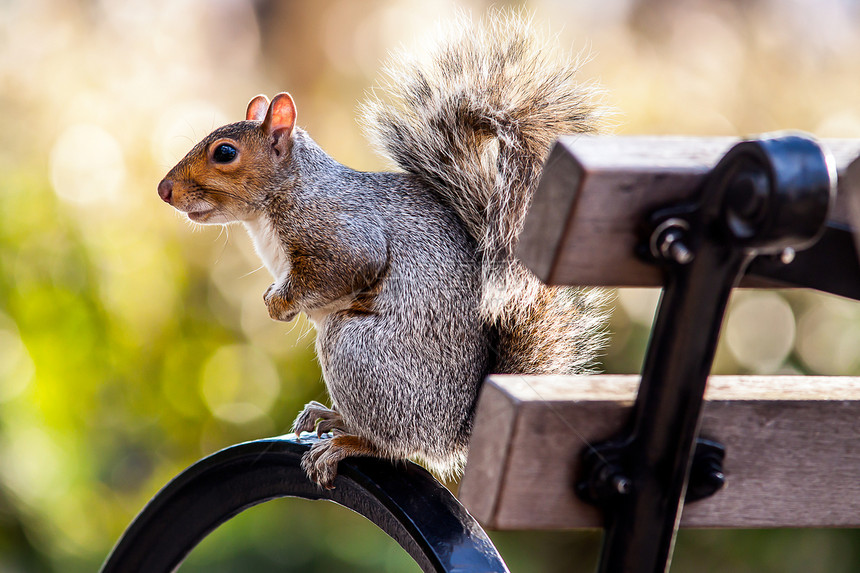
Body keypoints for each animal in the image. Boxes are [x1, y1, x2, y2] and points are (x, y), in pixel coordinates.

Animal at [158, 12, 608, 488]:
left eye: (225, 152)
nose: (164, 190)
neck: (283, 195)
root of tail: (450, 433)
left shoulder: (341, 232)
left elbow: (343, 268)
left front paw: (278, 303)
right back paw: (331, 417)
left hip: (355, 350)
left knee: (392, 444)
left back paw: (346, 442)